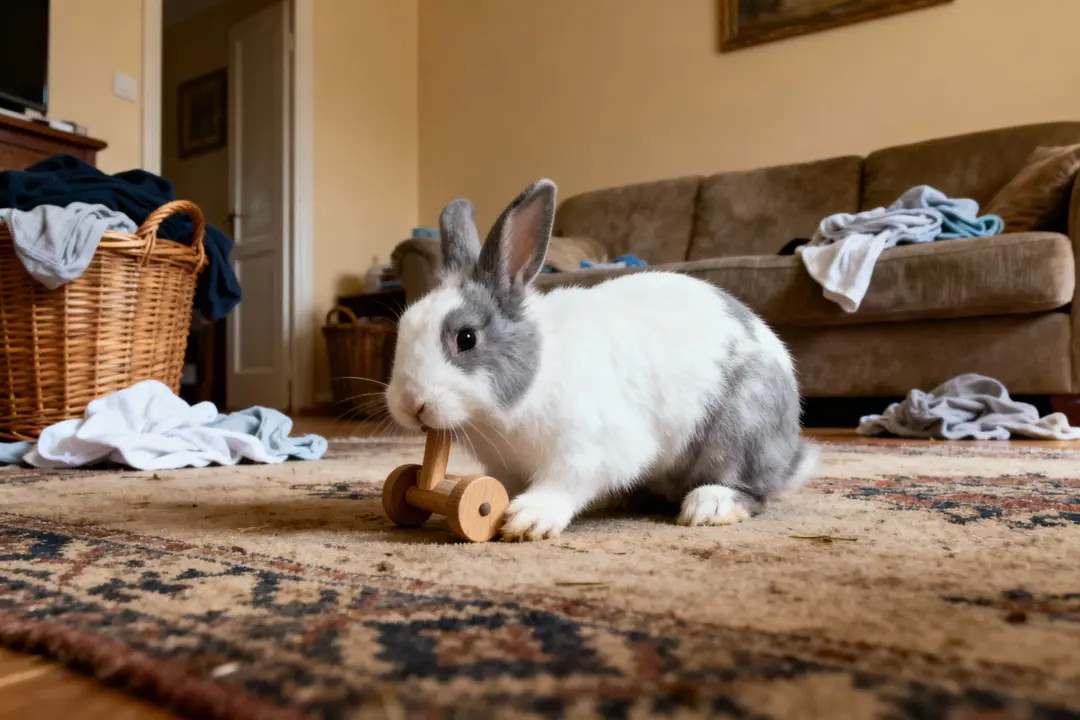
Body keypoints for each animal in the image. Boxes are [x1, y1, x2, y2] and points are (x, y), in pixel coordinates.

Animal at [386, 179, 818, 541]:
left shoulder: (591, 448)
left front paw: (528, 519)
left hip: (739, 431)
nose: (411, 404)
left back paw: (708, 505)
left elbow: (567, 481)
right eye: (403, 327)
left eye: (466, 338)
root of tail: (790, 449)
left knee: (750, 489)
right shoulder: (504, 467)